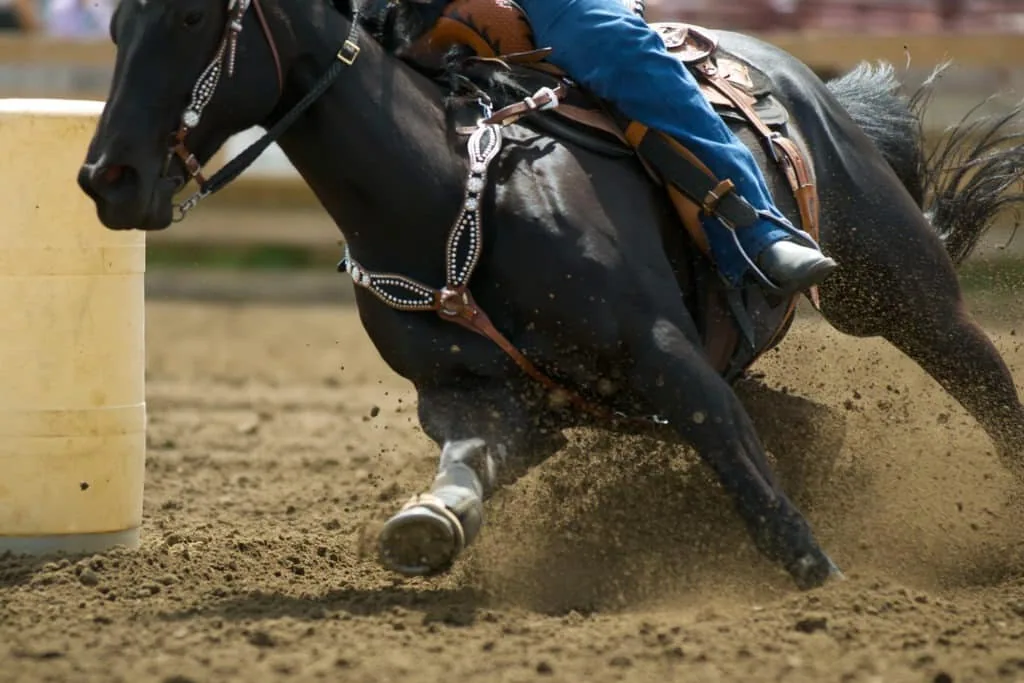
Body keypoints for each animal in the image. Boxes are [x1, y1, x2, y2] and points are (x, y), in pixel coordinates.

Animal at [76, 0, 1024, 591]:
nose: (106, 178)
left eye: (191, 16)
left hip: (899, 292)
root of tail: (800, 77)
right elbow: (466, 465)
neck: (450, 196)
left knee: (984, 380)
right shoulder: (480, 399)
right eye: (116, 23)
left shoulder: (665, 355)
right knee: (821, 428)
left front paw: (820, 579)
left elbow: (743, 470)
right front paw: (427, 522)